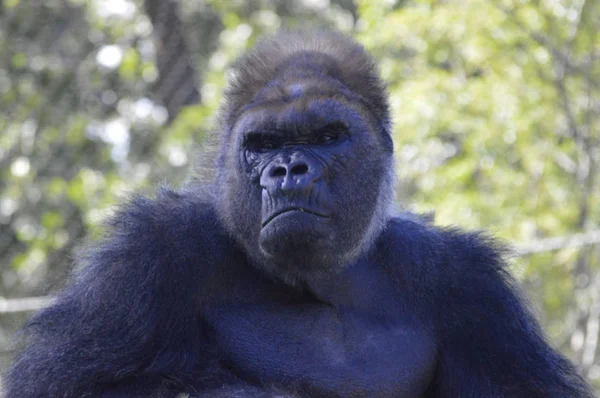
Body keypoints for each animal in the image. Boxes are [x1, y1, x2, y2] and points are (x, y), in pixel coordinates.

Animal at [4, 29, 596, 396]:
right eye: (264, 144)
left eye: (327, 136)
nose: (288, 169)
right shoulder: (148, 256)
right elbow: (67, 387)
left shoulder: (468, 286)